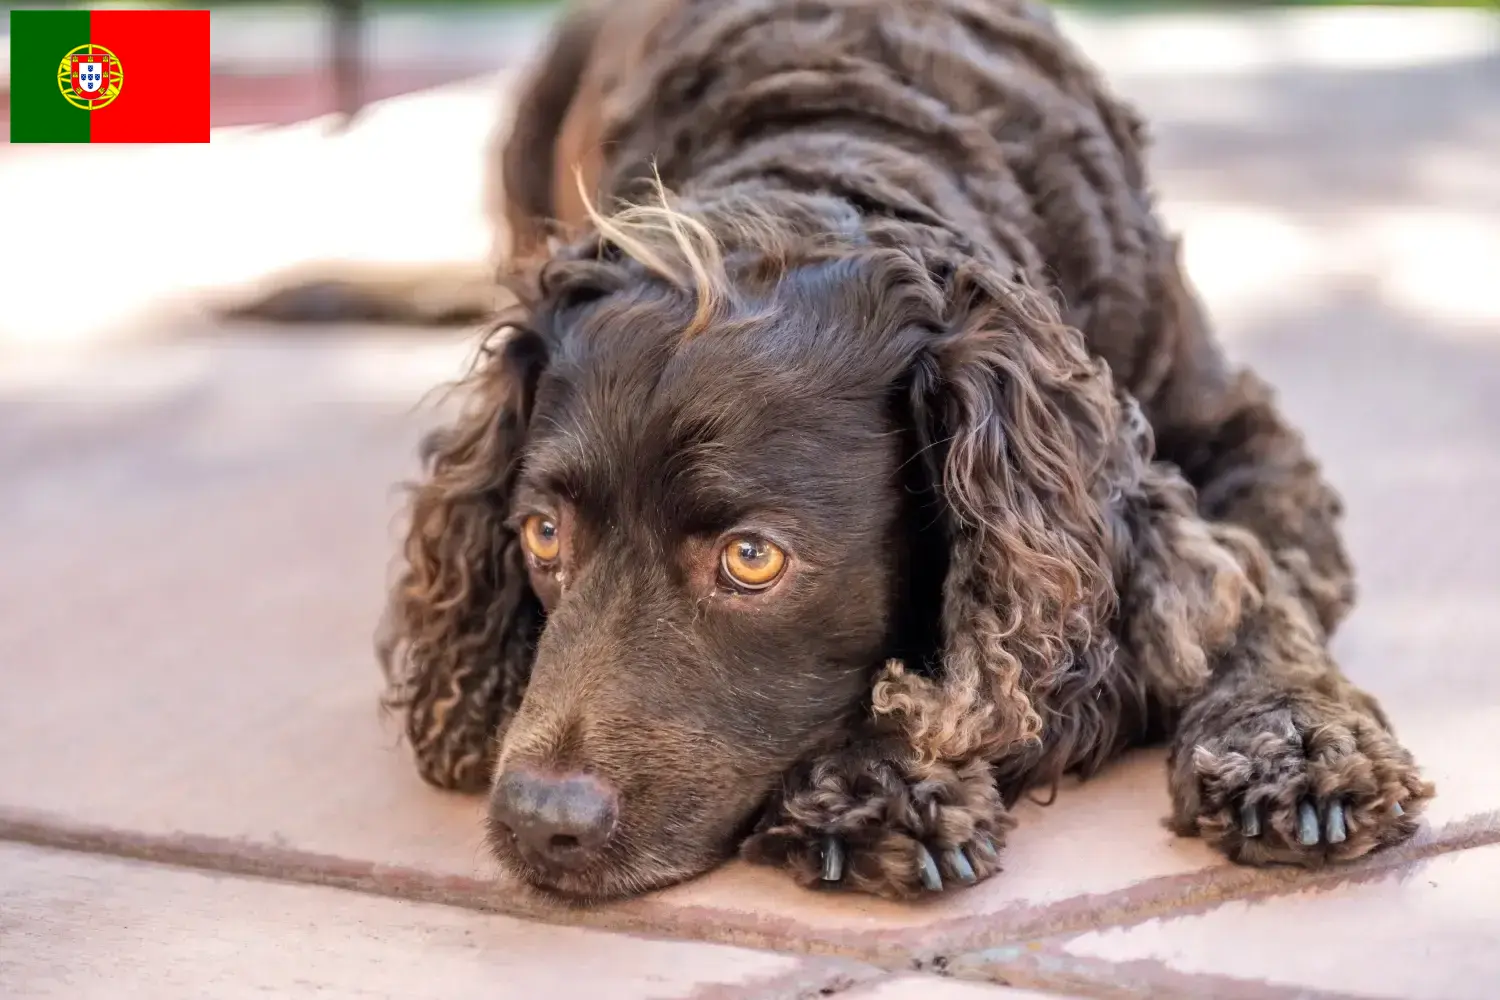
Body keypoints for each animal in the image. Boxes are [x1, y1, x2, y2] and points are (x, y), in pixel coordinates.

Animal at [372, 0, 1428, 905]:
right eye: (543, 536)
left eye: (752, 558)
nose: (537, 821)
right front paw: (880, 778)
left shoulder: (1242, 443)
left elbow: (1256, 594)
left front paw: (1295, 743)